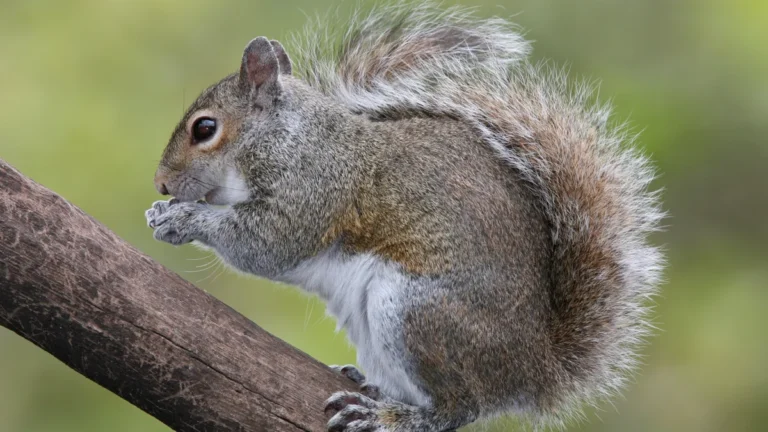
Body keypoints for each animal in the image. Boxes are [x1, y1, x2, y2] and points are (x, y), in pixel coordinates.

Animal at [145, 2, 664, 431]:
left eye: (204, 129)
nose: (161, 184)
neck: (288, 137)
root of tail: (537, 370)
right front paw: (161, 211)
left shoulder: (313, 190)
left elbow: (264, 244)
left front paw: (182, 220)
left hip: (415, 313)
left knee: (460, 408)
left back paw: (392, 418)